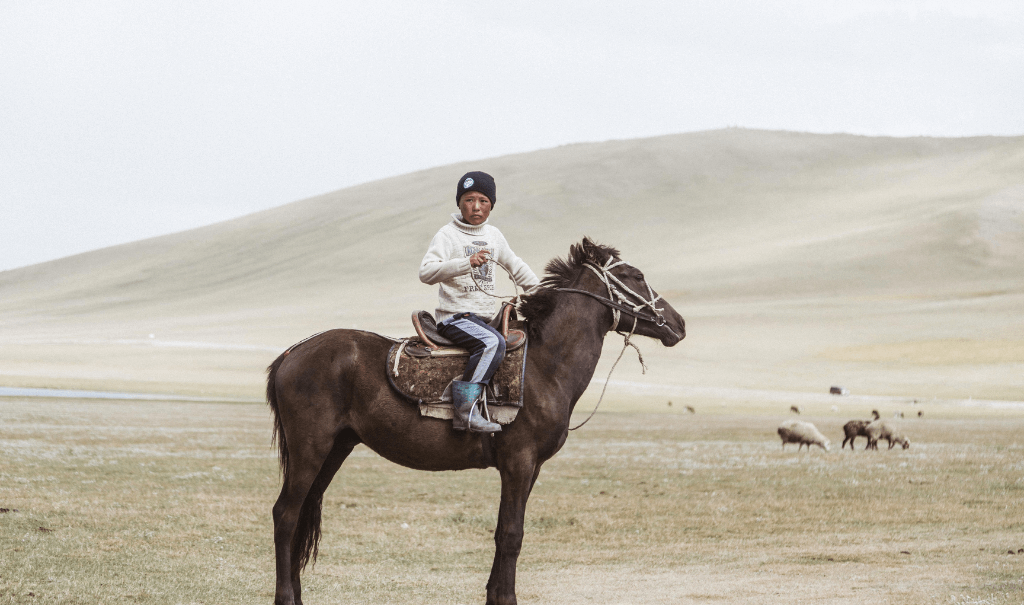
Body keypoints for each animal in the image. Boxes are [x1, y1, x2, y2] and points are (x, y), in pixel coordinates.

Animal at [268, 239, 688, 601]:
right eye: (635, 275)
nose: (679, 324)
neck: (545, 365)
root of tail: (292, 353)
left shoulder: (531, 467)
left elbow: (505, 532)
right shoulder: (518, 462)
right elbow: (512, 534)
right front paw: (506, 597)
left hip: (335, 448)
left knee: (303, 511)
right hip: (310, 448)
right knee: (285, 514)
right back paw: (286, 596)